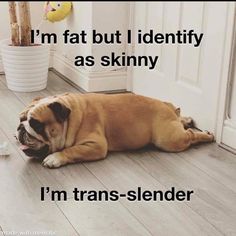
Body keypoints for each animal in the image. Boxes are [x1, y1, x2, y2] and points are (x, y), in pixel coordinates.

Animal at [15, 92, 213, 168]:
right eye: (20, 119)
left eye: (36, 124)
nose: (20, 129)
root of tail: (167, 105)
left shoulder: (95, 145)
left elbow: (72, 150)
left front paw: (55, 158)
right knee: (182, 121)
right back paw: (187, 119)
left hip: (168, 139)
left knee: (190, 135)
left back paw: (207, 135)